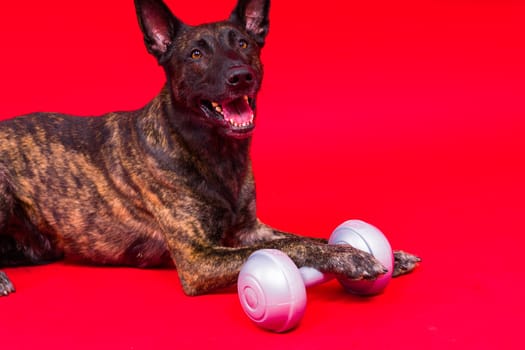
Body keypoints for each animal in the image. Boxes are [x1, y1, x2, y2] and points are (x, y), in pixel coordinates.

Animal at [0, 0, 418, 296]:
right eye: (196, 55)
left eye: (244, 44)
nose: (240, 76)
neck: (214, 154)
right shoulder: (198, 260)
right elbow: (293, 246)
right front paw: (349, 257)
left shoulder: (250, 231)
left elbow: (304, 238)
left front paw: (383, 254)